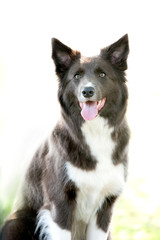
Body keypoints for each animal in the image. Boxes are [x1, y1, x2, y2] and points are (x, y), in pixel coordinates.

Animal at [0, 34, 130, 240]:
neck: (95, 133)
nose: (87, 91)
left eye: (102, 74)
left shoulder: (105, 208)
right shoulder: (60, 204)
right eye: (76, 76)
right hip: (17, 221)